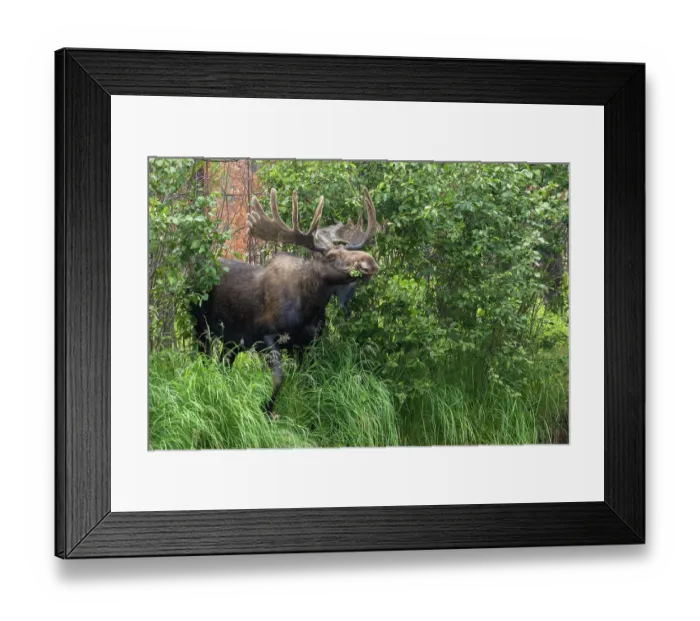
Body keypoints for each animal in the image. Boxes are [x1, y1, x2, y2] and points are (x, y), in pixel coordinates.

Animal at [192, 187, 379, 418]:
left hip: (232, 340)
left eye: (347, 251)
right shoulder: (265, 336)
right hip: (201, 325)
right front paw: (267, 410)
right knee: (204, 358)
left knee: (223, 363)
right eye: (331, 256)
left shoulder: (306, 344)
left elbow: (307, 380)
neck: (309, 308)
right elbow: (279, 379)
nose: (369, 262)